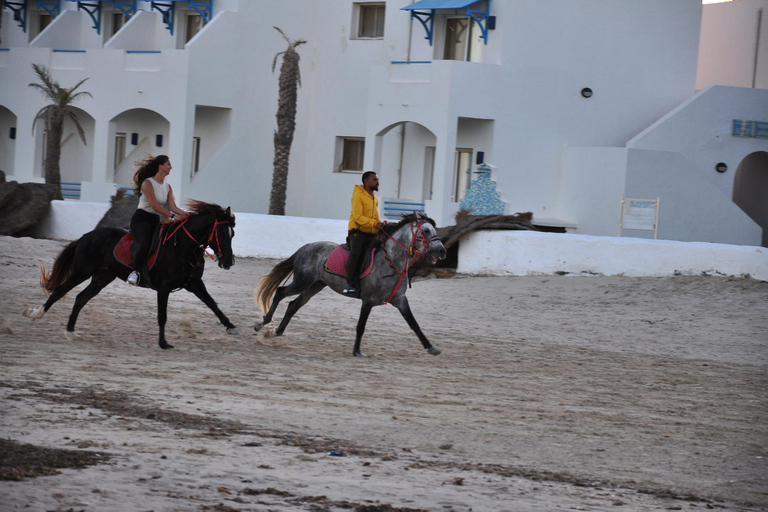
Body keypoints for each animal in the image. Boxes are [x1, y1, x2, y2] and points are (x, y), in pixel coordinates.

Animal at [255, 212, 448, 356]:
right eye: (426, 230)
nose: (442, 251)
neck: (391, 261)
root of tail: (307, 246)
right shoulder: (368, 300)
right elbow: (361, 326)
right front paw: (357, 351)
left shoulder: (400, 300)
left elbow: (414, 324)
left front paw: (431, 347)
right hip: (302, 282)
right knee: (280, 293)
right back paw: (263, 323)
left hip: (315, 285)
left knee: (294, 305)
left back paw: (276, 332)